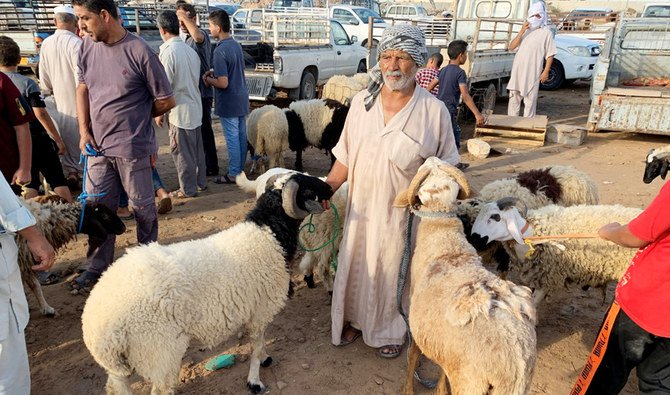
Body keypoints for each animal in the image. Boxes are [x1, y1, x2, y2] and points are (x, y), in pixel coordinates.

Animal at [82, 174, 334, 395]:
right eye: (308, 188)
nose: (330, 187)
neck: (268, 233)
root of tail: (99, 329)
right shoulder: (260, 310)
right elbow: (256, 344)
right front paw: (255, 380)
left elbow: (258, 343)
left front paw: (264, 359)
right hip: (159, 351)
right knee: (160, 388)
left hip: (124, 363)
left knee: (116, 386)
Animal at [396, 159, 540, 394]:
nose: (431, 158)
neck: (445, 240)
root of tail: (514, 364)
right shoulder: (447, 352)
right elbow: (443, 371)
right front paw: (440, 389)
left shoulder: (413, 316)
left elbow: (413, 355)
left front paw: (407, 388)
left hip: (471, 383)